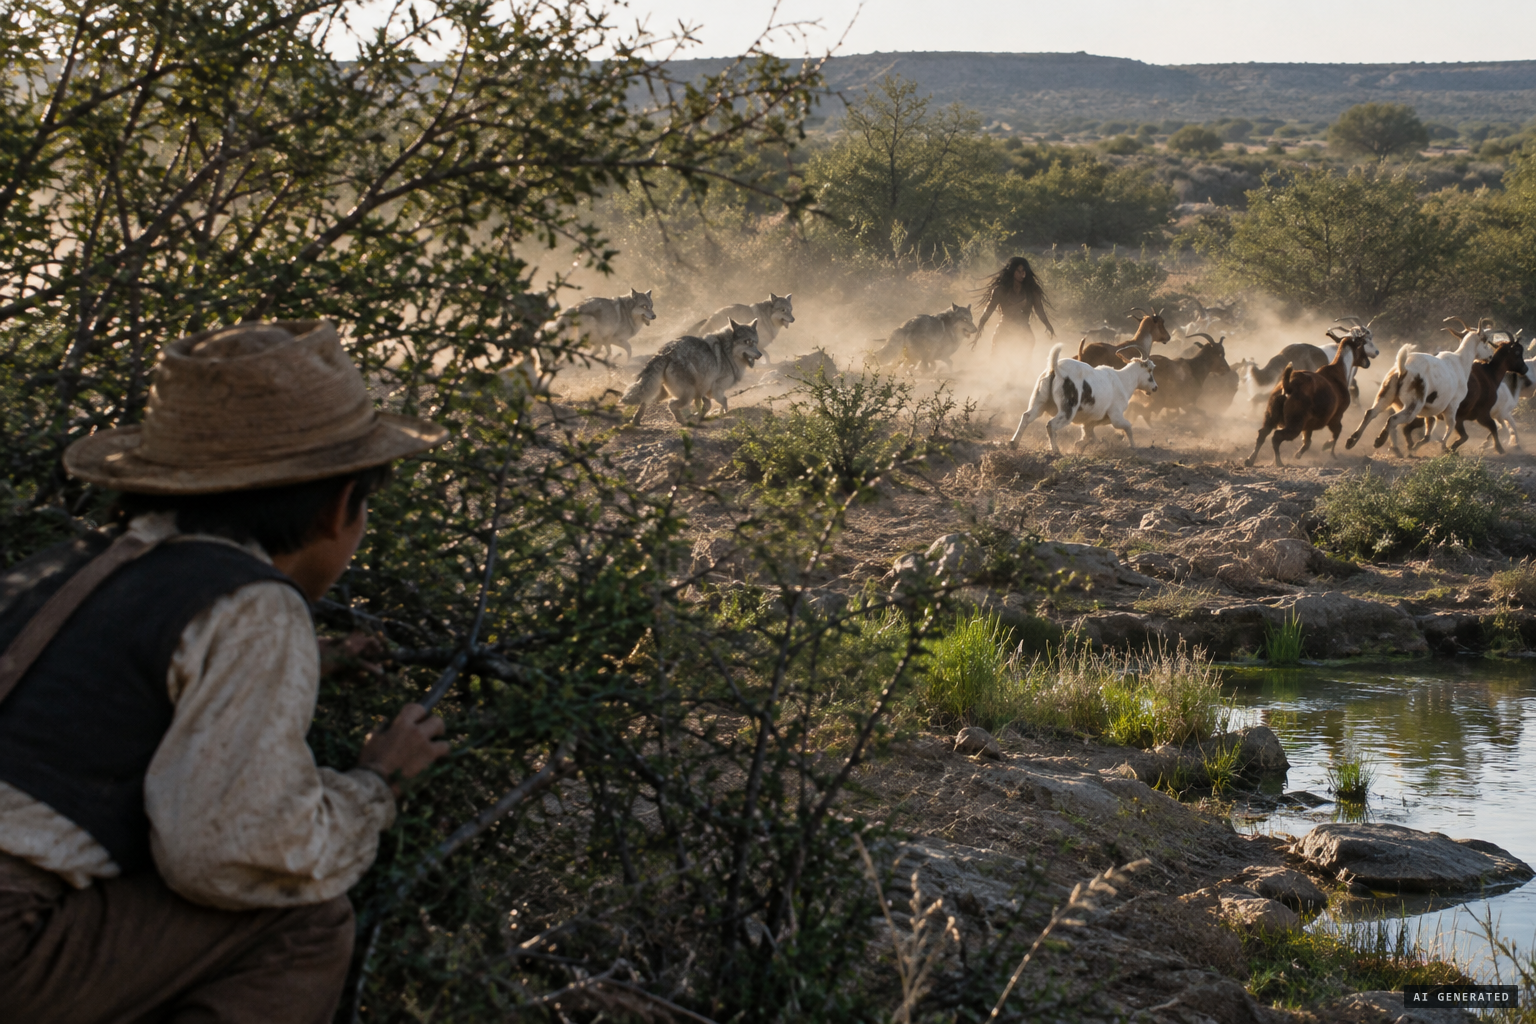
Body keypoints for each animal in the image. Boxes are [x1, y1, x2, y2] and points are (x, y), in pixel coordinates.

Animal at [622, 319, 763, 425]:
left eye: (755, 342)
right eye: (748, 342)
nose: (760, 355)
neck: (726, 352)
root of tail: (665, 352)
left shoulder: (702, 391)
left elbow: (706, 405)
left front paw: (702, 416)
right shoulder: (716, 389)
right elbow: (724, 401)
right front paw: (722, 414)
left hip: (664, 393)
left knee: (645, 401)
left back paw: (636, 421)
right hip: (686, 394)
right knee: (671, 404)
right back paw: (682, 422)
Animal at [1010, 343, 1157, 453]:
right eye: (1150, 370)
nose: (1155, 388)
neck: (1122, 379)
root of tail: (1055, 368)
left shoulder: (1090, 421)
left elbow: (1089, 436)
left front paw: (1080, 445)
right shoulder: (1116, 415)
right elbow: (1128, 427)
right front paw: (1133, 446)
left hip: (1039, 401)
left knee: (1027, 416)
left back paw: (1013, 443)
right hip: (1067, 410)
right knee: (1051, 424)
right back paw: (1056, 451)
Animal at [1243, 331, 1375, 467]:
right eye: (1363, 345)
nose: (1367, 362)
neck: (1340, 369)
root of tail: (1288, 386)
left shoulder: (1309, 425)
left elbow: (1307, 442)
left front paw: (1299, 454)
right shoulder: (1336, 417)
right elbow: (1336, 433)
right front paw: (1329, 450)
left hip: (1271, 416)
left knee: (1262, 434)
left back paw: (1250, 460)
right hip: (1295, 425)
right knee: (1276, 437)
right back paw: (1278, 462)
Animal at [1345, 318, 1498, 456]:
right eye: (1485, 341)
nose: (1490, 356)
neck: (1460, 361)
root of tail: (1402, 369)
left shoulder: (1430, 411)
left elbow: (1428, 433)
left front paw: (1415, 447)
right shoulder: (1452, 405)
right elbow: (1450, 426)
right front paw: (1444, 448)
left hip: (1386, 395)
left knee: (1371, 412)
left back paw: (1352, 441)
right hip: (1413, 406)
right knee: (1393, 419)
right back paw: (1379, 440)